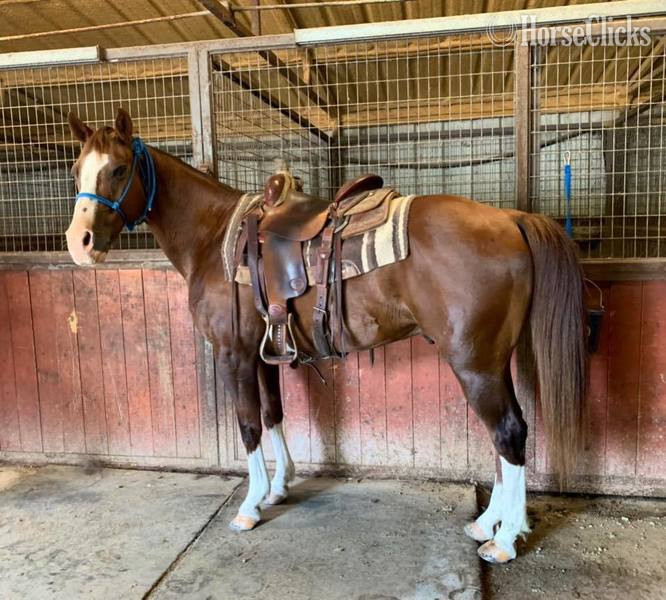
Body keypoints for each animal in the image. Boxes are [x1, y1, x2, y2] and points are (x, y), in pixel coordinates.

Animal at [64, 108, 587, 564]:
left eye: (118, 169)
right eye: (75, 170)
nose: (79, 243)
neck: (214, 239)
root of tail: (510, 218)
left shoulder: (233, 354)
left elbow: (248, 426)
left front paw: (250, 505)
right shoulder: (264, 354)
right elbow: (274, 414)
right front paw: (279, 487)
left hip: (475, 365)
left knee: (508, 432)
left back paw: (504, 541)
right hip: (490, 362)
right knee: (504, 436)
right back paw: (487, 524)